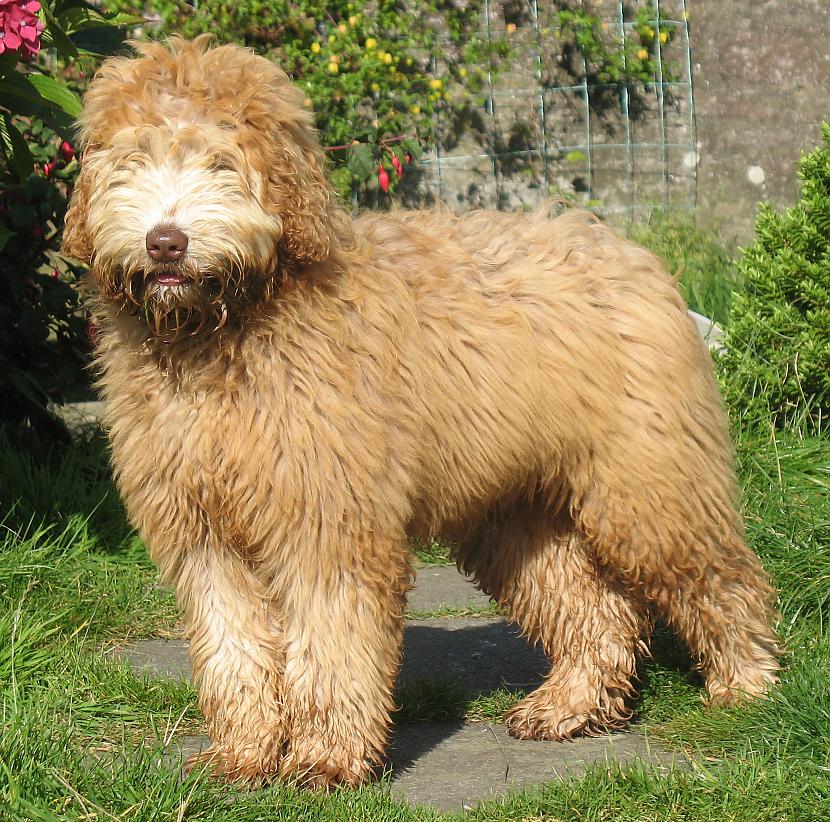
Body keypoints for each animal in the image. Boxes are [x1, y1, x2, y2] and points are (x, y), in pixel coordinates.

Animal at [63, 35, 780, 788]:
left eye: (222, 163)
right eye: (133, 160)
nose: (165, 241)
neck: (226, 326)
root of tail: (624, 248)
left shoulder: (330, 517)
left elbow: (334, 637)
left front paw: (327, 756)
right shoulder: (201, 529)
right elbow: (233, 643)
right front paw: (245, 752)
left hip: (649, 486)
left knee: (719, 578)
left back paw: (747, 685)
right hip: (517, 513)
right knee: (593, 610)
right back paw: (568, 705)